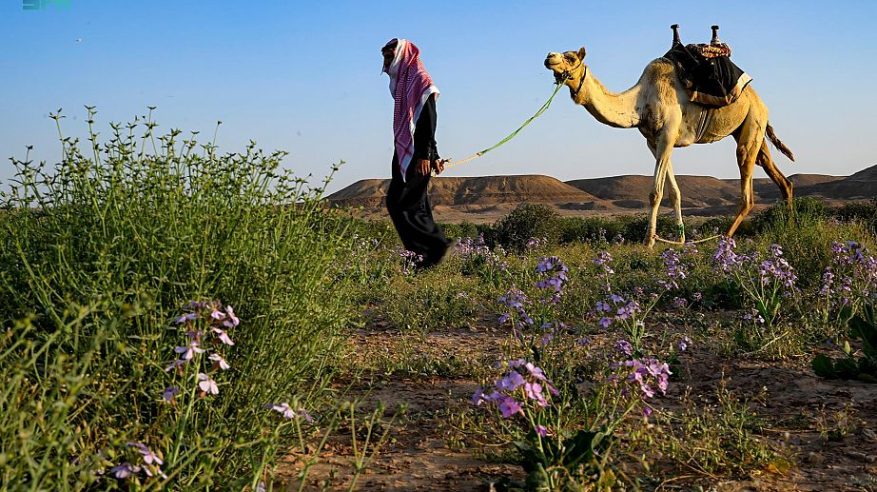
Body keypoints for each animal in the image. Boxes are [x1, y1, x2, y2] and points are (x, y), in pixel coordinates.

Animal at [540, 44, 792, 248]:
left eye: (571, 57)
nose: (548, 57)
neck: (641, 101)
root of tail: (760, 102)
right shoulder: (653, 141)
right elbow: (674, 192)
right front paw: (679, 239)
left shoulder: (668, 135)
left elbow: (655, 192)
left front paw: (648, 241)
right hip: (751, 129)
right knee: (781, 179)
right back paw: (792, 227)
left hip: (752, 122)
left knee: (747, 192)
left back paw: (724, 240)